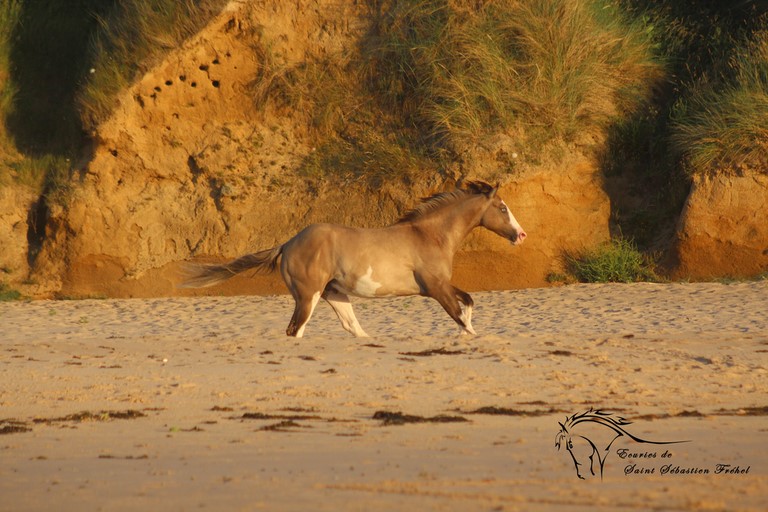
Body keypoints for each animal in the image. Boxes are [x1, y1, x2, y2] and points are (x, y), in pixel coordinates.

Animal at [182, 180, 526, 337]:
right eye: (503, 207)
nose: (521, 235)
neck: (429, 235)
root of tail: (288, 243)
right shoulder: (435, 288)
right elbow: (460, 314)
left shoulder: (441, 286)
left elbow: (468, 303)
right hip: (308, 296)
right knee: (296, 330)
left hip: (334, 294)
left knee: (352, 329)